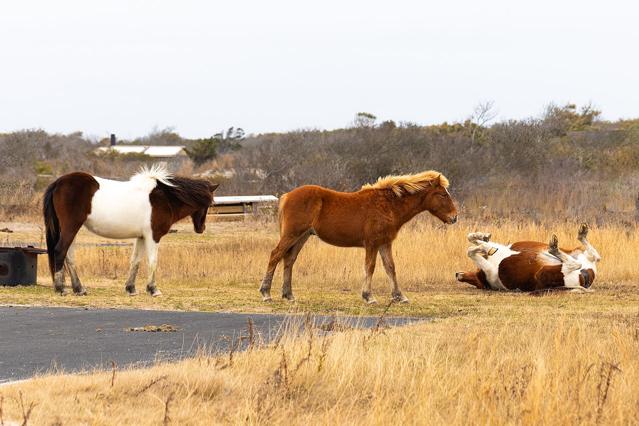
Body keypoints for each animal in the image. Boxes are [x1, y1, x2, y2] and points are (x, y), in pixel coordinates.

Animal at [42, 166, 219, 296]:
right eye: (210, 204)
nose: (201, 228)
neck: (165, 198)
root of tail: (59, 182)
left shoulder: (141, 237)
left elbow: (136, 261)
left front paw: (131, 288)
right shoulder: (153, 236)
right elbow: (152, 261)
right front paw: (153, 289)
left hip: (71, 229)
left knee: (69, 256)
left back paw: (79, 289)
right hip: (71, 227)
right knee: (60, 251)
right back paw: (61, 289)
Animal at [258, 170, 458, 302]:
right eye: (442, 194)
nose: (454, 217)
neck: (388, 205)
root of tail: (287, 196)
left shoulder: (385, 243)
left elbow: (390, 267)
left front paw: (399, 296)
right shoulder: (372, 244)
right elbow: (370, 267)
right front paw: (368, 296)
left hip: (302, 237)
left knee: (289, 259)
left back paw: (288, 295)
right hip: (292, 234)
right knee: (275, 255)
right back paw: (266, 293)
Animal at [458, 223, 604, 292]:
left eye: (475, 280)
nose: (457, 275)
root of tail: (585, 280)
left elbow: (473, 242)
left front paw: (482, 238)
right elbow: (471, 250)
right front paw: (483, 245)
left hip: (578, 254)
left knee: (593, 256)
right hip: (545, 272)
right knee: (580, 262)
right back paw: (556, 246)